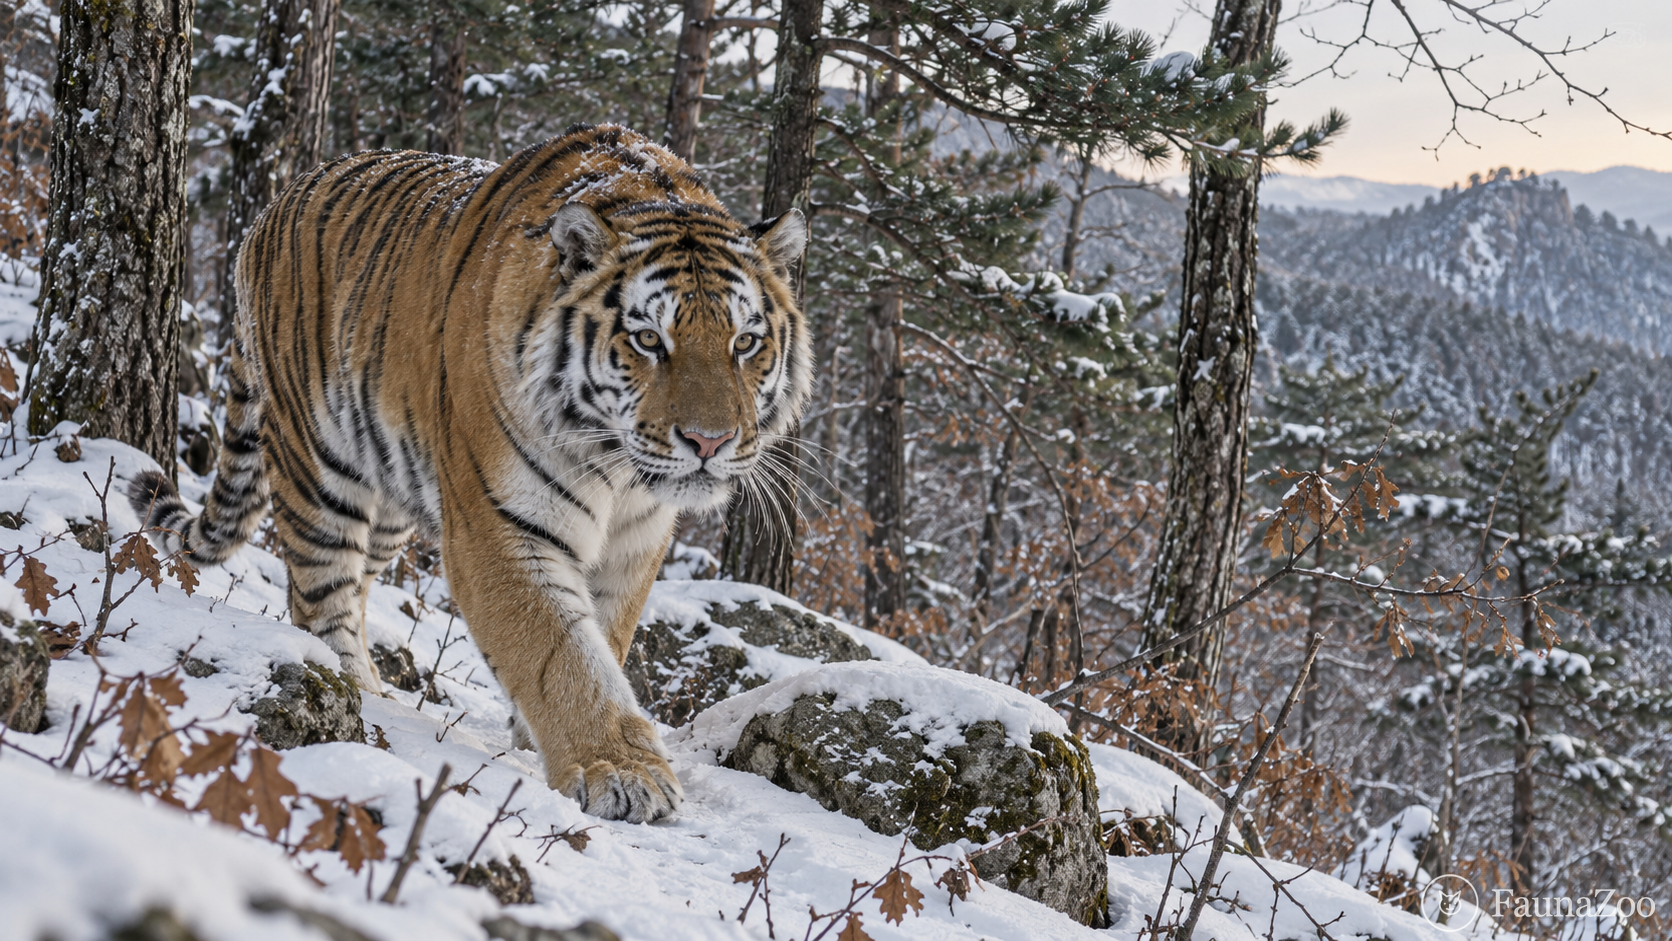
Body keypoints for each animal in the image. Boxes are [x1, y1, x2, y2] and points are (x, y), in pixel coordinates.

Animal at [129, 123, 812, 823]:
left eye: (745, 343)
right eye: (649, 340)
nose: (710, 441)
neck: (616, 466)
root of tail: (269, 208)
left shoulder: (638, 539)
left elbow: (606, 636)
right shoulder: (498, 524)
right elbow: (560, 650)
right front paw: (623, 772)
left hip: (392, 504)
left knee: (357, 582)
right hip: (317, 464)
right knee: (319, 591)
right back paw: (349, 687)